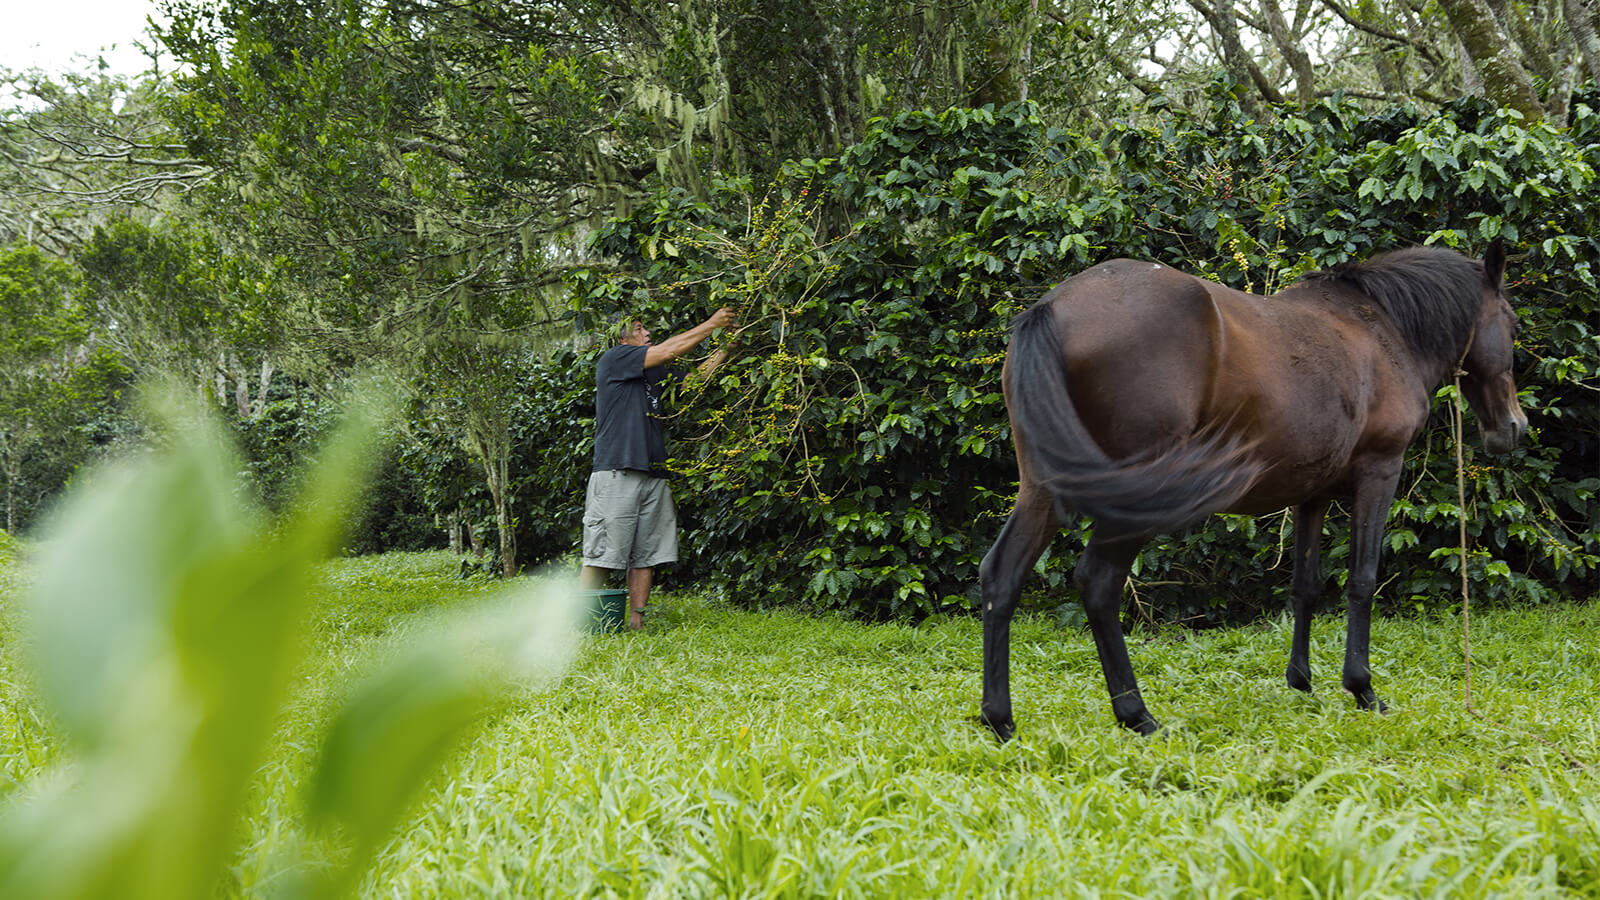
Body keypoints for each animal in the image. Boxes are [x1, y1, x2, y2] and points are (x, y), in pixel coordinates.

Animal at [979, 239, 1526, 740]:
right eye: (1513, 323)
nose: (1514, 427)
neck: (1380, 328)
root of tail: (1055, 307)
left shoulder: (1313, 492)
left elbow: (1306, 584)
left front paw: (1301, 680)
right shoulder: (1379, 472)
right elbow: (1362, 580)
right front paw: (1362, 688)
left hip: (1044, 489)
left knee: (1002, 575)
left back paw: (999, 719)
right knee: (1098, 581)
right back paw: (1137, 715)